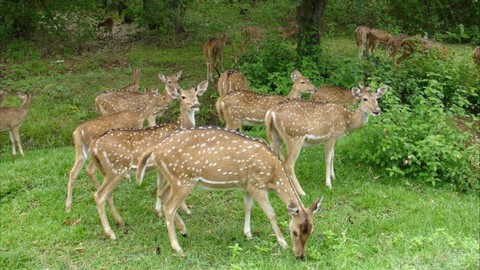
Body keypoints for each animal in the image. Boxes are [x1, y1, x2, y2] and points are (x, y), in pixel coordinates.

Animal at [90, 80, 208, 240]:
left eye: (196, 94)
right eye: (182, 96)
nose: (195, 105)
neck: (179, 127)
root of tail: (94, 146)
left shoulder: (160, 167)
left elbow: (159, 187)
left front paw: (158, 211)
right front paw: (184, 210)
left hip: (107, 170)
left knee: (107, 195)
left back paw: (120, 221)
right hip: (117, 169)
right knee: (99, 196)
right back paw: (111, 233)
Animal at [135, 126, 322, 260]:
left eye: (311, 231)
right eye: (294, 232)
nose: (300, 256)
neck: (273, 176)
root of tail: (156, 149)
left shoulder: (247, 186)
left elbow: (248, 207)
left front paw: (248, 234)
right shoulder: (257, 185)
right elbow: (271, 213)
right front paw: (282, 243)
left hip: (175, 179)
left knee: (163, 195)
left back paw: (183, 230)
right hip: (184, 180)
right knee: (169, 206)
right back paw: (177, 247)